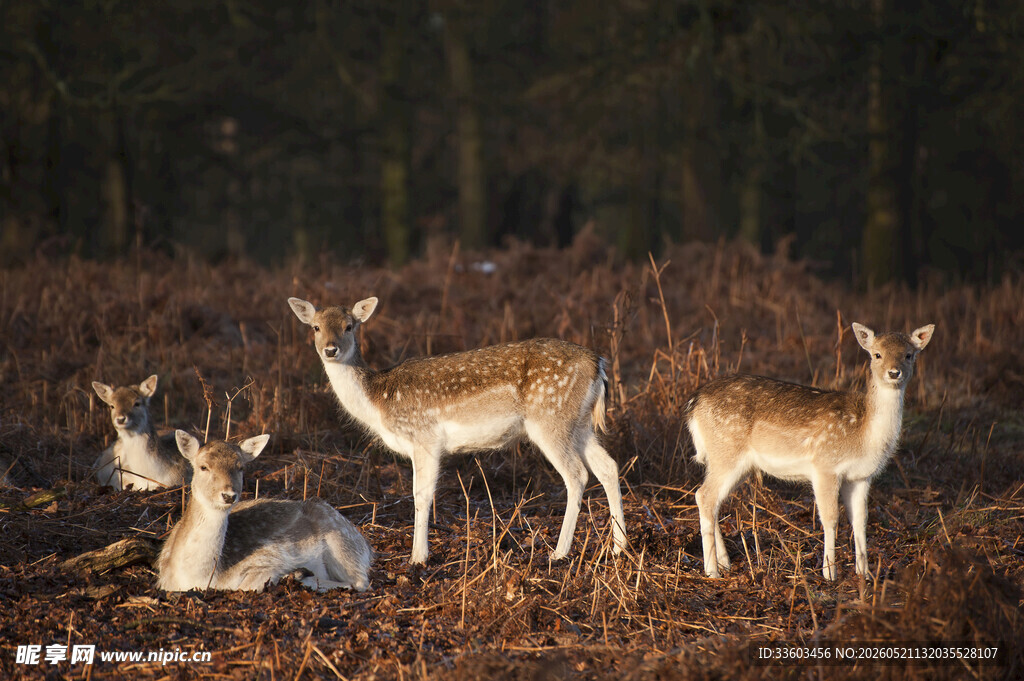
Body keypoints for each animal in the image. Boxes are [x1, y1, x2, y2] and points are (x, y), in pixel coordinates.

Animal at [157, 431, 372, 592]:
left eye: (241, 467)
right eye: (203, 467)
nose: (228, 495)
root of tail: (368, 548)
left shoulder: (267, 560)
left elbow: (246, 587)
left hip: (341, 541)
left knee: (360, 582)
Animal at [288, 296, 627, 565]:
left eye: (349, 326)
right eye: (315, 327)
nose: (330, 350)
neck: (379, 401)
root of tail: (598, 364)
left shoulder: (424, 437)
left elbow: (421, 495)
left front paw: (417, 558)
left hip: (550, 419)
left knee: (577, 475)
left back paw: (560, 552)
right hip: (579, 424)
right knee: (608, 466)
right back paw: (619, 547)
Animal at [686, 322, 935, 580]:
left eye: (909, 355)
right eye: (877, 354)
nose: (894, 373)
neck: (864, 435)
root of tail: (694, 404)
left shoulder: (860, 476)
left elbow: (860, 520)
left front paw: (864, 574)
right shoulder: (825, 466)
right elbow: (831, 518)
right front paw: (829, 573)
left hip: (734, 462)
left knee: (711, 500)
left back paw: (724, 562)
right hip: (727, 452)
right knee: (704, 496)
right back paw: (712, 570)